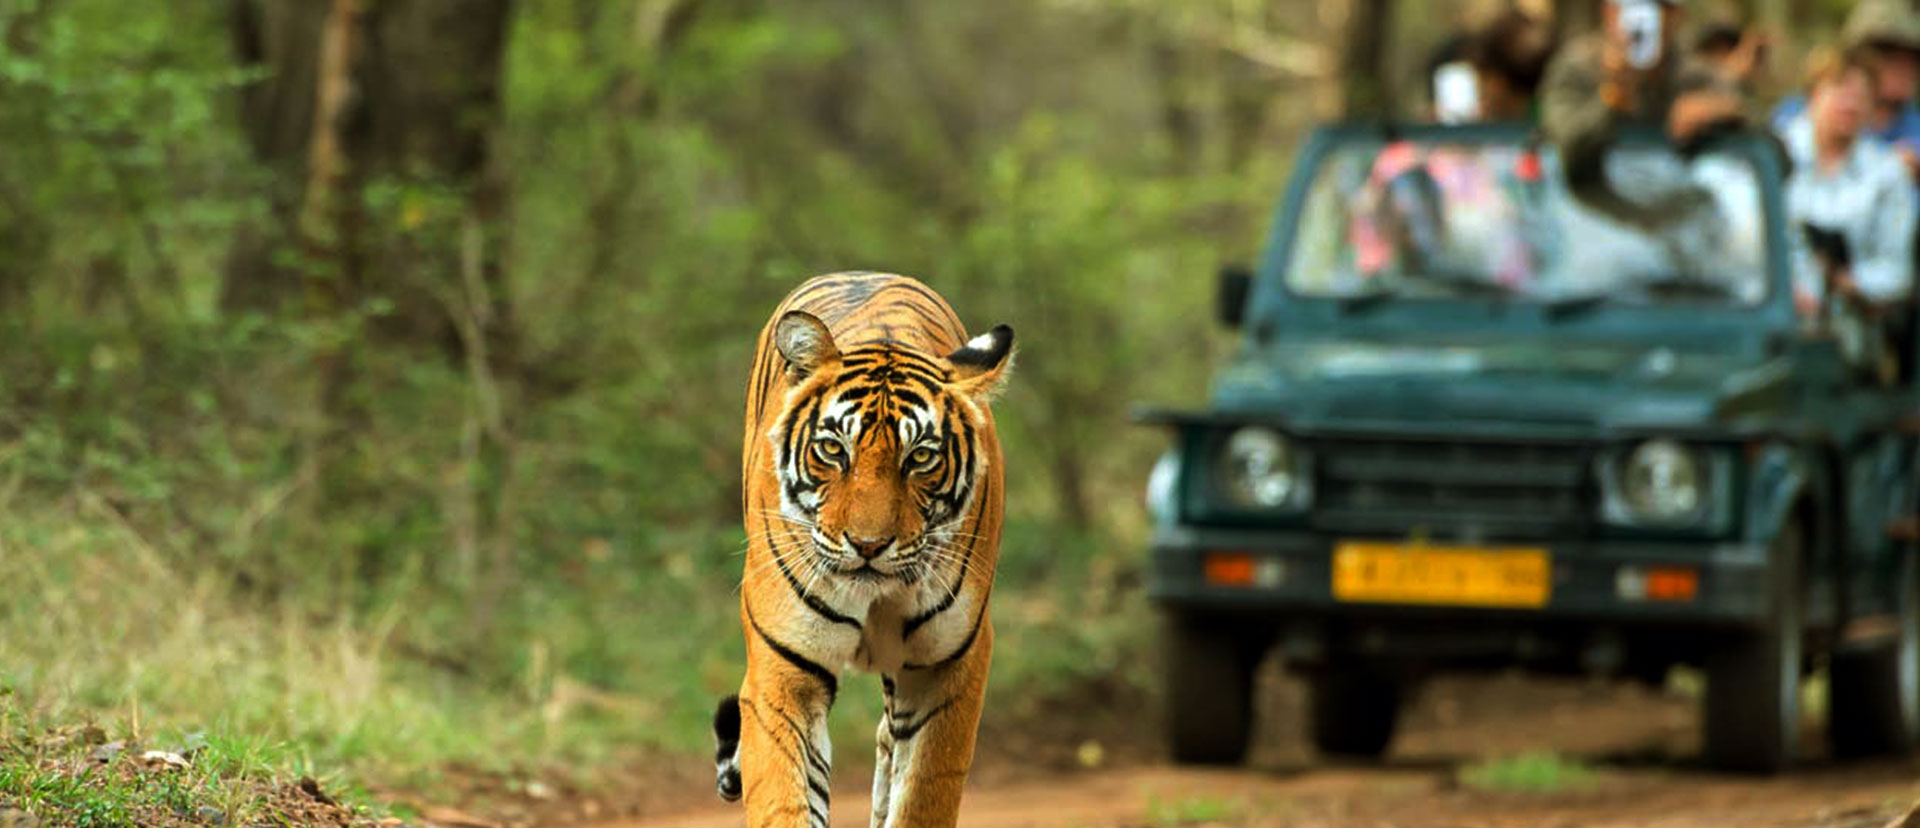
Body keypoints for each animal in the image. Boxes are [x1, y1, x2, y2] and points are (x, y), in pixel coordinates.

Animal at [714, 274, 1021, 828]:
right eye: (833, 449)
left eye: (920, 457)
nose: (868, 545)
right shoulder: (784, 675)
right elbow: (787, 797)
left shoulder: (948, 668)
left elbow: (922, 795)